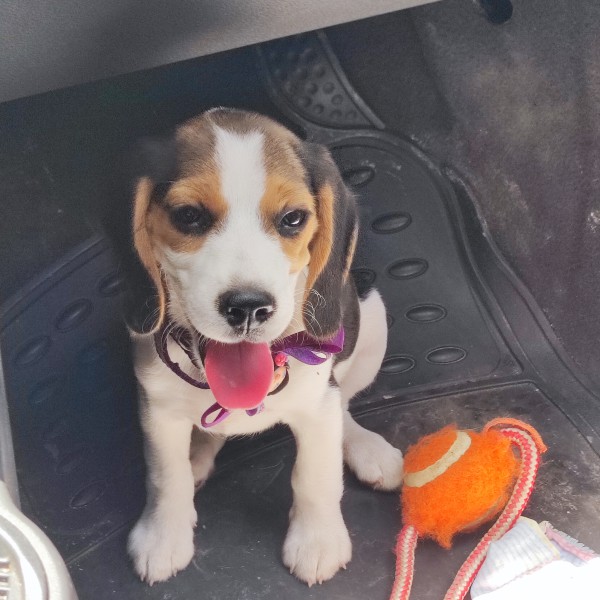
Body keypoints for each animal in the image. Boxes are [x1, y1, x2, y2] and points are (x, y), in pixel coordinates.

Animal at [126, 108, 404, 586]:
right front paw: (163, 537)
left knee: (344, 405)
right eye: (188, 216)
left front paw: (317, 541)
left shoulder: (317, 403)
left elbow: (315, 476)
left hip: (370, 320)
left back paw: (365, 446)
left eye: (292, 218)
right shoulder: (157, 409)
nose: (248, 306)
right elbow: (166, 477)